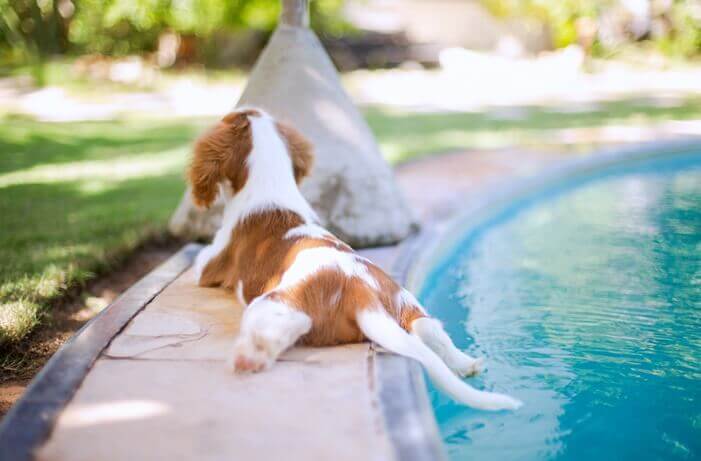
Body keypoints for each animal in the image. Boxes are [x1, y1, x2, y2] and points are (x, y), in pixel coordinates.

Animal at [189, 107, 524, 410]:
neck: (271, 186)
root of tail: (362, 292)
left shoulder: (209, 265)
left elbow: (199, 261)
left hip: (275, 303)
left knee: (280, 329)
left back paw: (249, 358)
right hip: (407, 303)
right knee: (431, 330)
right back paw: (467, 364)